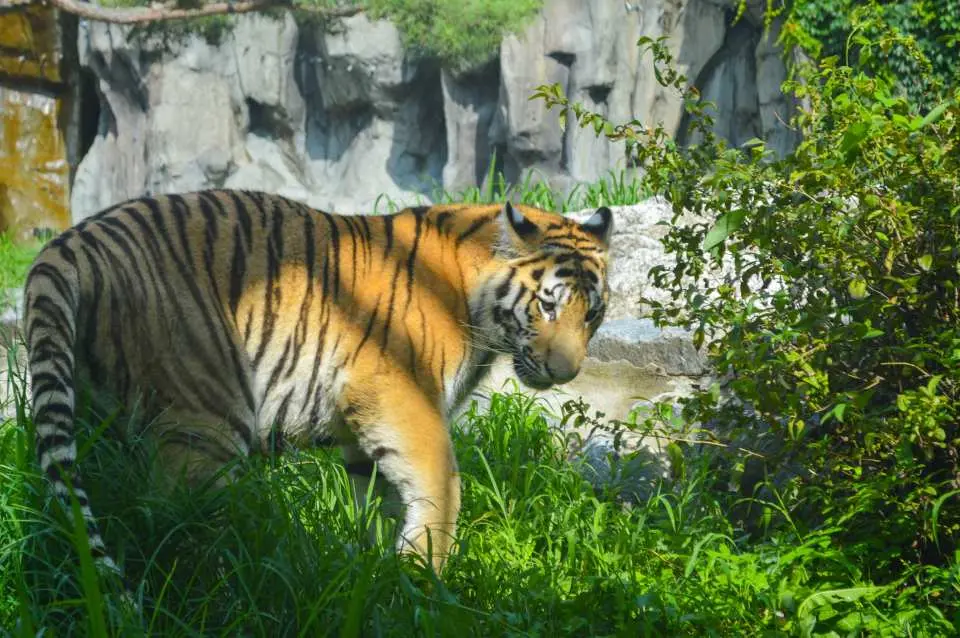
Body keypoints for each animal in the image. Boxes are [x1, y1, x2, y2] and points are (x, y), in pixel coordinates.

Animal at [23, 189, 613, 581]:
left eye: (592, 314)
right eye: (548, 306)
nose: (567, 372)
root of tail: (69, 244)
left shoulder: (364, 425)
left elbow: (382, 497)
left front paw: (380, 571)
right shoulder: (399, 394)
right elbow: (442, 485)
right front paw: (425, 575)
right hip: (206, 416)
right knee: (182, 516)